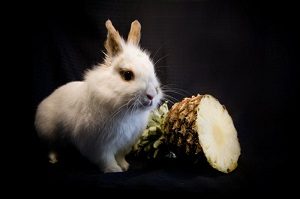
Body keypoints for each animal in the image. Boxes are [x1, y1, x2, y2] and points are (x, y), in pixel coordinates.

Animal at [35, 19, 164, 173]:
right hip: (50, 134)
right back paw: (54, 159)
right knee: (52, 147)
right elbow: (106, 159)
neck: (126, 111)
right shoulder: (99, 145)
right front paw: (114, 169)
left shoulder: (125, 144)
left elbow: (120, 156)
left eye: (153, 71)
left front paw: (125, 166)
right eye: (127, 75)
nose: (152, 95)